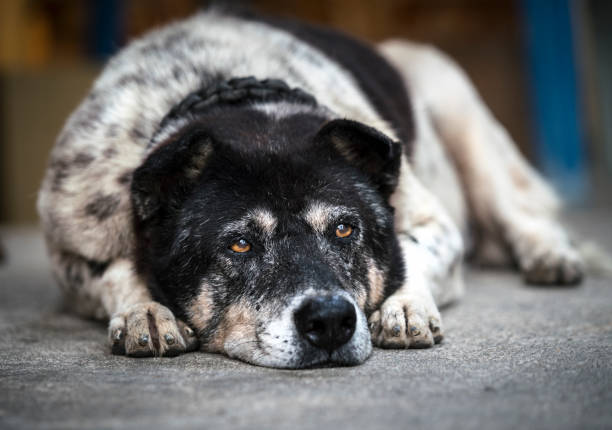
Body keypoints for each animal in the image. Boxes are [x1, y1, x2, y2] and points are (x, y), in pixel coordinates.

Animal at [37, 8, 584, 368]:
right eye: (240, 243)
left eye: (344, 230)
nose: (330, 321)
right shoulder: (70, 252)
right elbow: (116, 270)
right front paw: (145, 311)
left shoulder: (434, 220)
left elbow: (412, 248)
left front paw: (405, 304)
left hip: (452, 96)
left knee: (520, 206)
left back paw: (550, 254)